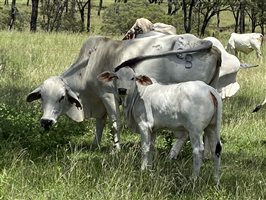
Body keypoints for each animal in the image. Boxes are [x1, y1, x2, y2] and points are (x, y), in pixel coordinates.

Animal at [26, 34, 220, 148]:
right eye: (42, 97)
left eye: (61, 97)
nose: (46, 121)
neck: (89, 64)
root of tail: (206, 44)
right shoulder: (99, 102)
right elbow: (100, 123)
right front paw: (95, 145)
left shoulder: (108, 95)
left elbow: (114, 124)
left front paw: (116, 150)